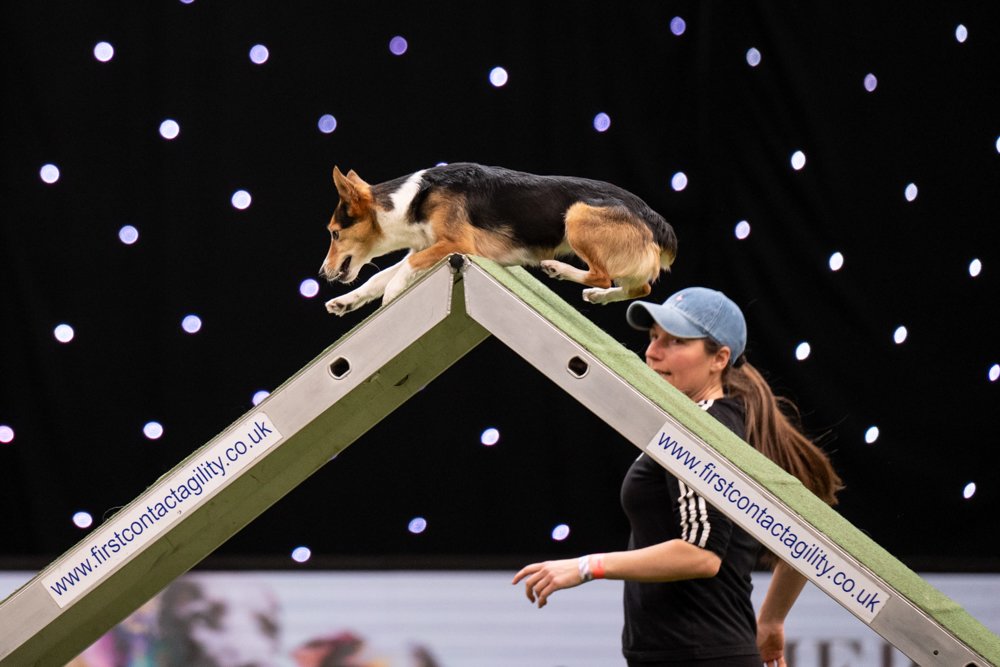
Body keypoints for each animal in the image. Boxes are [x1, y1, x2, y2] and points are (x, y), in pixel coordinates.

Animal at [320, 163, 680, 318]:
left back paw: (558, 269)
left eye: (335, 233)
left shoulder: (458, 244)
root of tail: (656, 220)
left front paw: (392, 295)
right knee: (641, 288)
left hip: (577, 215)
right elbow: (380, 275)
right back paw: (599, 296)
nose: (323, 273)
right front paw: (347, 301)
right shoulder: (426, 244)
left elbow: (403, 269)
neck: (411, 199)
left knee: (604, 275)